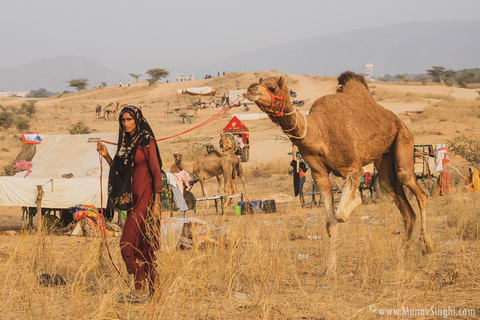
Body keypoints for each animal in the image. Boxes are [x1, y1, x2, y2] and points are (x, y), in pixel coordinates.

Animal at [248, 72, 436, 272]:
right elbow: (330, 223)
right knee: (401, 202)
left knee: (415, 187)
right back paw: (402, 257)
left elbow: (340, 214)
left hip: (403, 139)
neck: (318, 133)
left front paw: (357, 199)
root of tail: (399, 121)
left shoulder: (353, 167)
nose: (251, 89)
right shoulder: (320, 174)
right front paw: (330, 269)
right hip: (384, 156)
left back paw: (427, 245)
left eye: (273, 87)